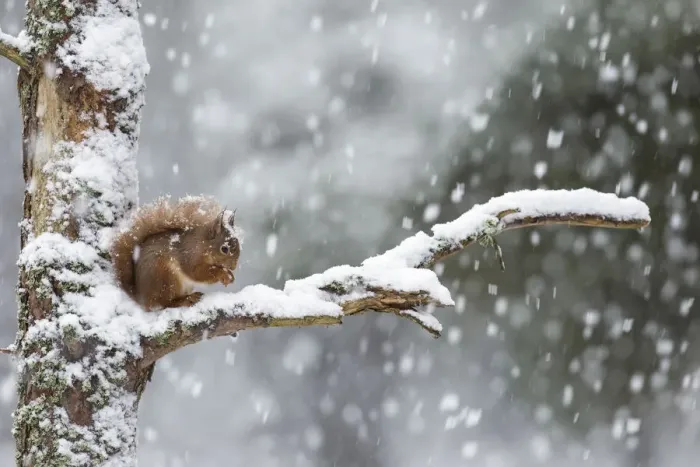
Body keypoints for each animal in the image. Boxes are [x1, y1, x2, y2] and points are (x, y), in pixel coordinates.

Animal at [110, 196, 241, 311]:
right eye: (224, 249)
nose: (233, 266)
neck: (202, 245)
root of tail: (141, 297)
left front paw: (230, 275)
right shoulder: (189, 256)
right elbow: (197, 273)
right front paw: (224, 274)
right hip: (165, 276)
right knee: (164, 303)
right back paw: (185, 300)